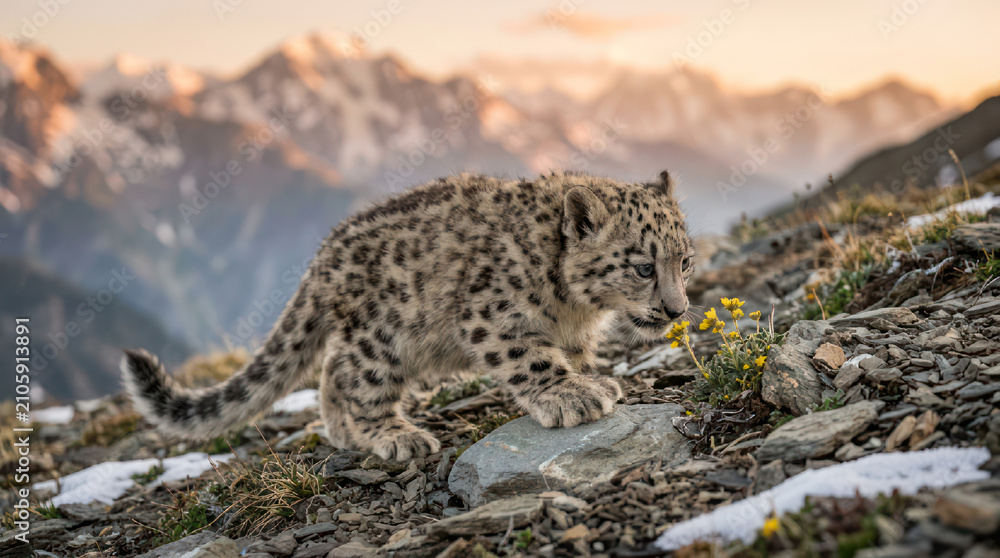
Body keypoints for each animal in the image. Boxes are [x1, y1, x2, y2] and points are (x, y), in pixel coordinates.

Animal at [121, 170, 695, 460]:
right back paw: (393, 436)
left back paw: (344, 431)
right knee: (356, 378)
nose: (677, 309)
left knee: (333, 370)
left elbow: (568, 356)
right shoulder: (492, 314)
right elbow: (531, 358)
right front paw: (571, 395)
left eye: (685, 261)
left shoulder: (571, 334)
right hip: (383, 338)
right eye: (644, 266)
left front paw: (587, 380)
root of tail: (321, 258)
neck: (575, 307)